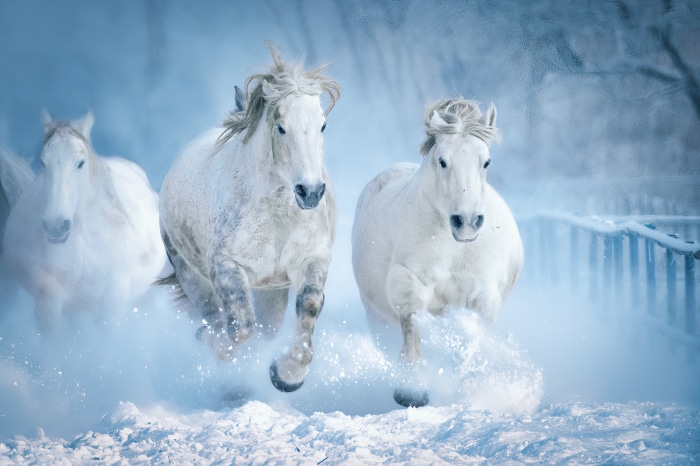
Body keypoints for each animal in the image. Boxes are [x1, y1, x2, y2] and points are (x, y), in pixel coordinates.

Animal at [157, 45, 340, 393]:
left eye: (323, 126)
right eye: (281, 127)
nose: (310, 192)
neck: (277, 218)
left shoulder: (313, 259)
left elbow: (308, 308)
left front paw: (286, 375)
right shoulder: (227, 268)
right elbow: (239, 327)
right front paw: (220, 350)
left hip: (271, 291)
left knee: (268, 328)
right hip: (190, 275)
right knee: (215, 317)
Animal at [351, 99, 523, 407]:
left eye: (486, 161)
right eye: (442, 161)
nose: (466, 221)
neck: (454, 248)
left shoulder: (483, 293)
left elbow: (473, 339)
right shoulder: (408, 279)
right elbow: (412, 327)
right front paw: (411, 390)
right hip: (377, 317)